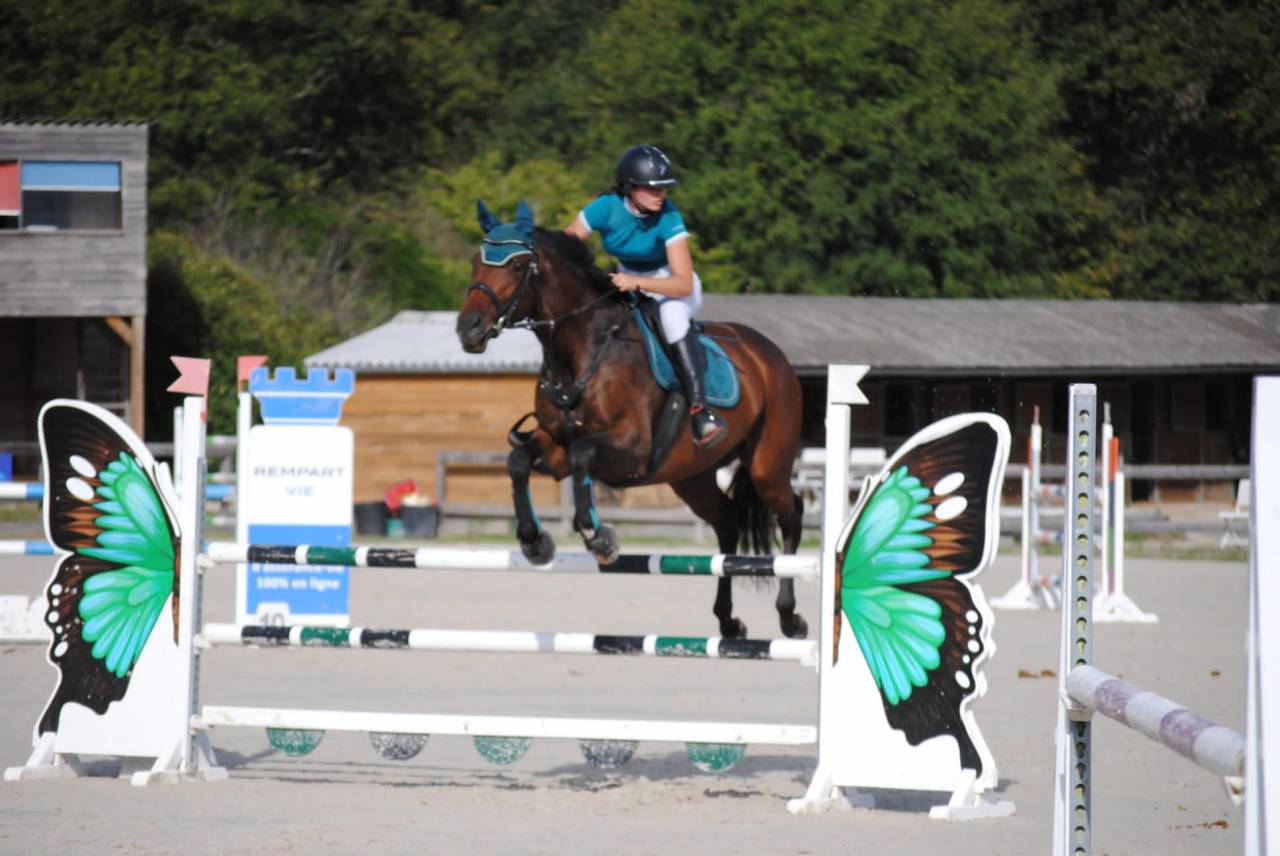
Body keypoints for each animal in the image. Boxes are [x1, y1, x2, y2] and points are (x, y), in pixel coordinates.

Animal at [455, 200, 808, 639]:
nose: (468, 329)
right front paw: (535, 542)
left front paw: (599, 538)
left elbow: (583, 455)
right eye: (476, 261)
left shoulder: (632, 447)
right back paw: (728, 621)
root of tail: (770, 354)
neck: (580, 352)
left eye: (518, 265)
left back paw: (790, 617)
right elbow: (519, 461)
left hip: (767, 464)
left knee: (791, 514)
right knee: (727, 522)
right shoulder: (554, 445)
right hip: (690, 476)